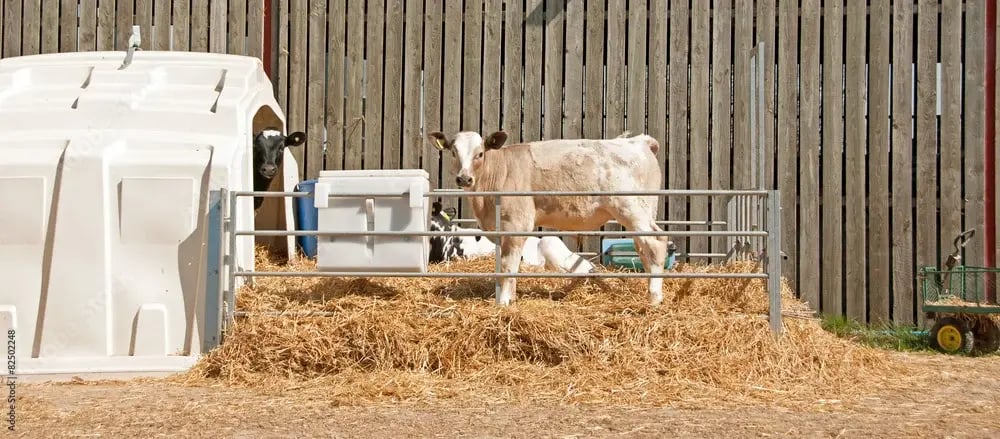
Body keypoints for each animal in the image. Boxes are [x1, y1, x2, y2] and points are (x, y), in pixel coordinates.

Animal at [427, 130, 670, 306]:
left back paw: (655, 298)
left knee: (656, 243)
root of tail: (639, 141)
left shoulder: (517, 224)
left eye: (480, 153)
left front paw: (503, 303)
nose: (464, 178)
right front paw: (509, 298)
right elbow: (508, 267)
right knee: (644, 249)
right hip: (643, 214)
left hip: (632, 210)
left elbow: (508, 265)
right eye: (453, 152)